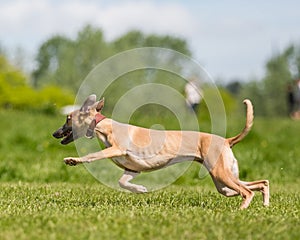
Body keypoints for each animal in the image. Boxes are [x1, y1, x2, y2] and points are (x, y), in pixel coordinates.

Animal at [53, 94, 270, 209]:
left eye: (67, 118)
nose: (54, 133)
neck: (103, 126)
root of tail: (226, 140)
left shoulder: (116, 149)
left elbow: (91, 156)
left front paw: (73, 159)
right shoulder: (133, 168)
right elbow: (123, 182)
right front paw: (140, 189)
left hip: (220, 173)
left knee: (246, 191)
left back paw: (241, 209)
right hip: (224, 178)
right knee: (258, 184)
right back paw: (265, 203)